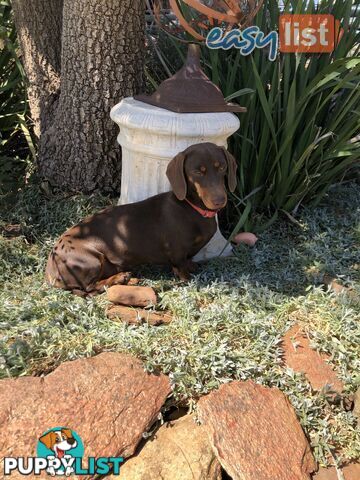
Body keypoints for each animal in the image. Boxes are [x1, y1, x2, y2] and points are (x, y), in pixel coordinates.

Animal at [45, 141, 236, 294]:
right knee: (90, 287)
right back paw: (120, 278)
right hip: (91, 260)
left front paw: (193, 266)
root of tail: (50, 272)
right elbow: (181, 268)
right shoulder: (177, 253)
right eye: (198, 171)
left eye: (222, 167)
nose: (220, 201)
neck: (192, 209)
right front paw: (187, 279)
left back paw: (128, 279)